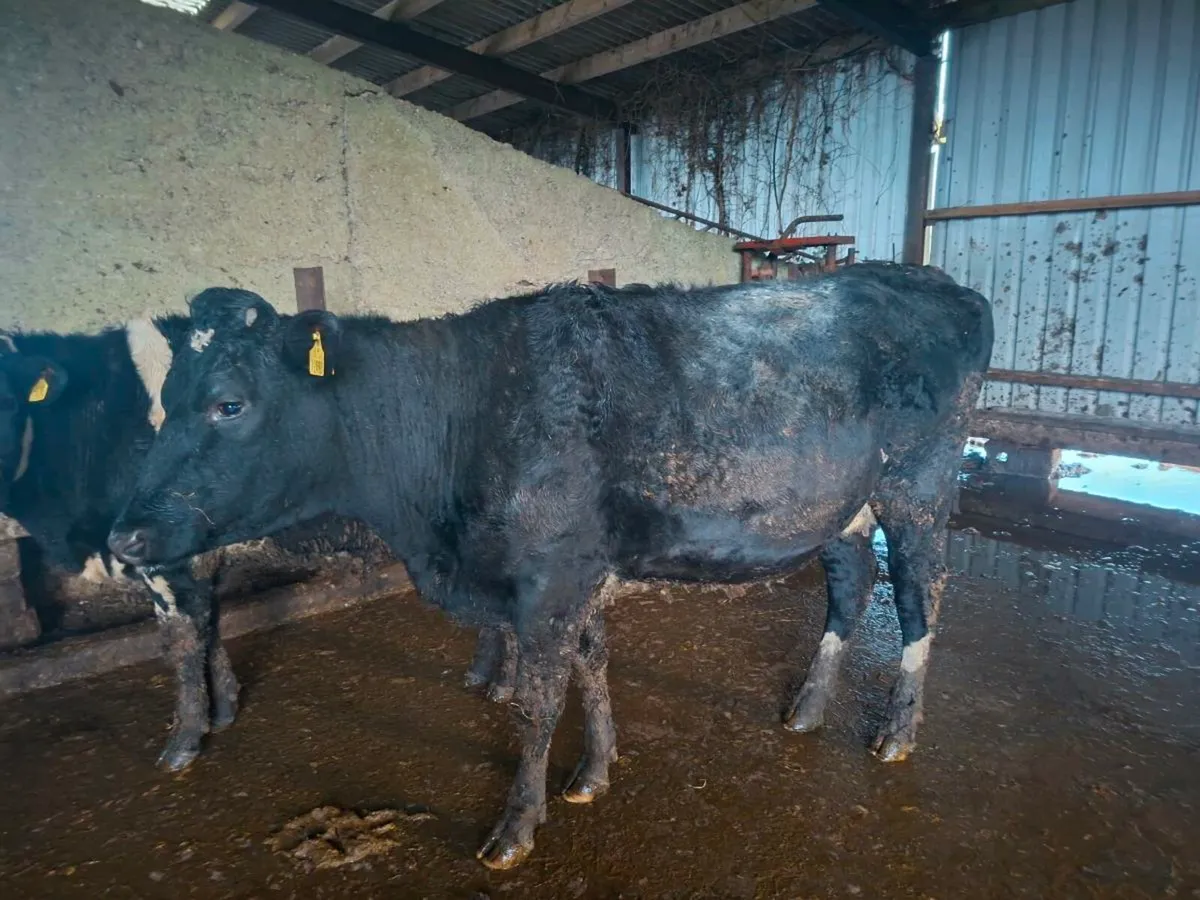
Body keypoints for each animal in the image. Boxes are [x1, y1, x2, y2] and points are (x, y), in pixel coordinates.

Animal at [108, 262, 994, 869]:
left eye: (228, 403)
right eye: (162, 401)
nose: (123, 538)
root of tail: (928, 279)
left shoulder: (548, 579)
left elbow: (537, 702)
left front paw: (515, 826)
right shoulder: (576, 572)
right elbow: (591, 668)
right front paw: (596, 771)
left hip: (919, 490)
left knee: (920, 601)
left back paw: (895, 733)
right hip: (842, 507)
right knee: (851, 586)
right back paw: (807, 708)